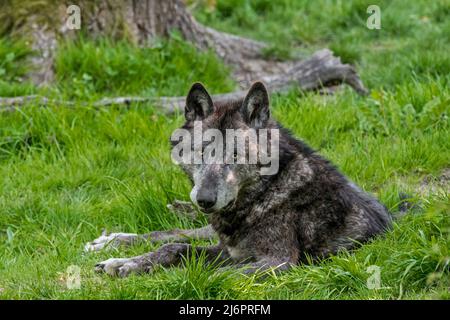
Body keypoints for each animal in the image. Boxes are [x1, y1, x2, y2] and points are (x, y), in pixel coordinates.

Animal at [89, 81, 392, 276]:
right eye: (201, 151)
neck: (266, 193)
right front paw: (127, 264)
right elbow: (175, 247)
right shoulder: (229, 250)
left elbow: (216, 274)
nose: (205, 200)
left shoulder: (277, 261)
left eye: (236, 154)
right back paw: (112, 243)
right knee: (175, 233)